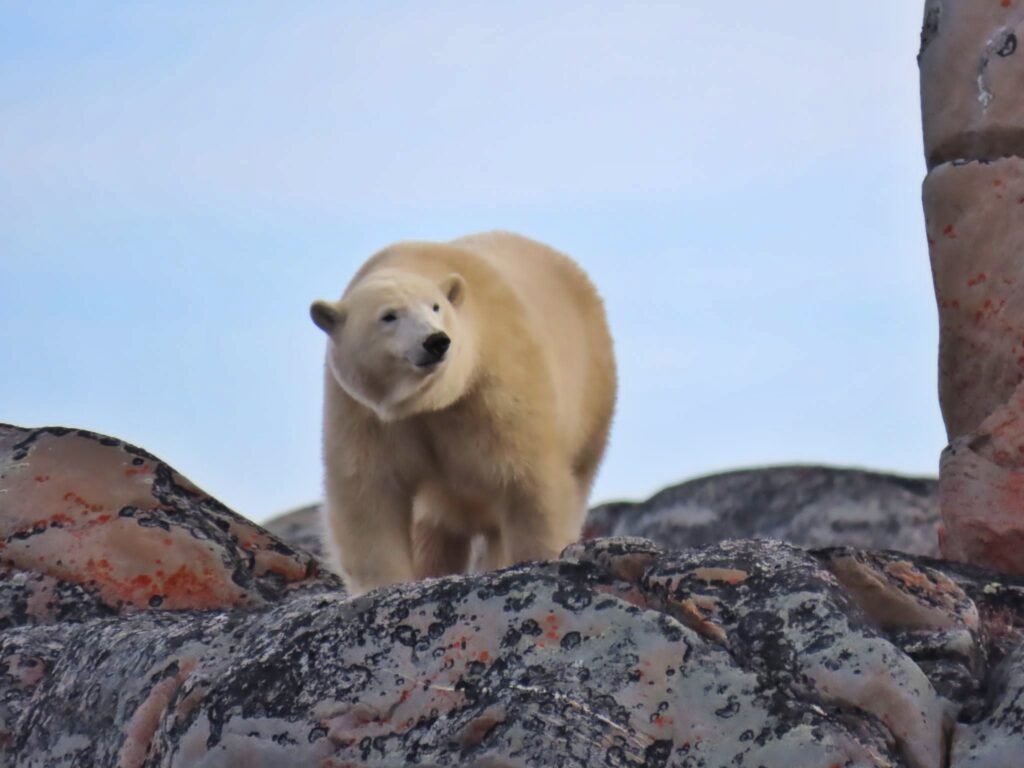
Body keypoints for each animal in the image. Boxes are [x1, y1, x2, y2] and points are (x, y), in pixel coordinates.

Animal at [309, 231, 614, 598]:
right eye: (388, 316)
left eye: (435, 307)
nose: (436, 341)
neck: (429, 402)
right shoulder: (364, 413)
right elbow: (368, 492)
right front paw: (384, 585)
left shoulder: (496, 387)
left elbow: (529, 482)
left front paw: (535, 560)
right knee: (434, 528)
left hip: (591, 396)